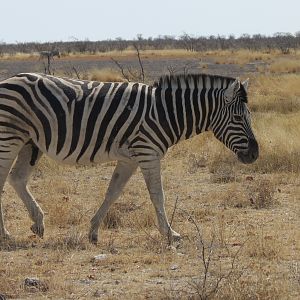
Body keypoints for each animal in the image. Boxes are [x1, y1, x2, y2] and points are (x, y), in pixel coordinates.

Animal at [0, 72, 258, 244]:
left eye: (250, 115)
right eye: (237, 117)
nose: (255, 154)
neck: (165, 113)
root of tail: (8, 79)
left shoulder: (130, 158)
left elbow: (112, 192)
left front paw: (93, 231)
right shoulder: (148, 153)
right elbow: (158, 196)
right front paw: (170, 233)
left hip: (29, 142)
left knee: (17, 179)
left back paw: (38, 223)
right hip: (9, 138)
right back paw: (5, 234)